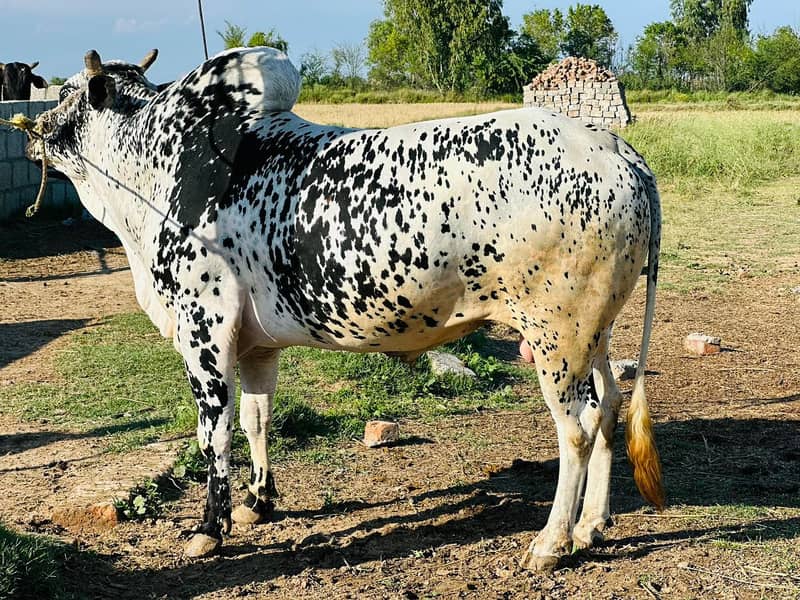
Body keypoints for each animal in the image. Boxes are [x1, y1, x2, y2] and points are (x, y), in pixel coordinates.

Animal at [27, 47, 663, 570]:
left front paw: (210, 527)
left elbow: (216, 435)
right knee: (609, 408)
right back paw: (592, 525)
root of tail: (617, 148)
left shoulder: (204, 335)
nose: (31, 131)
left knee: (577, 430)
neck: (156, 172)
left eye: (66, 93)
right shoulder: (256, 345)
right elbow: (258, 420)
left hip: (557, 335)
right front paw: (260, 501)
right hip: (595, 333)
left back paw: (551, 542)